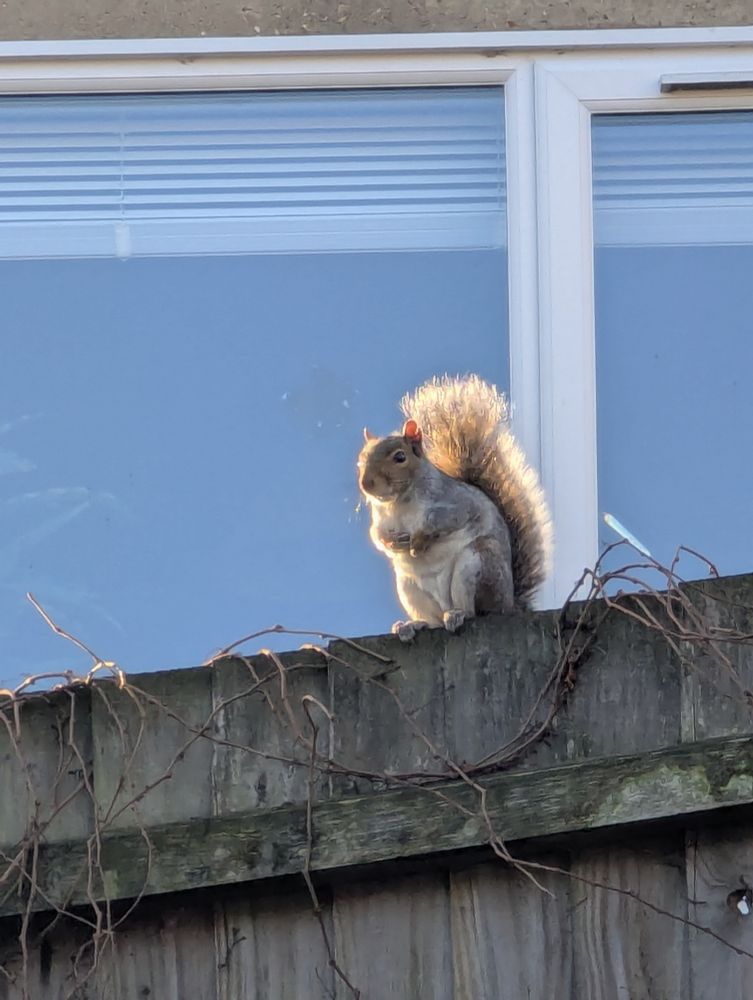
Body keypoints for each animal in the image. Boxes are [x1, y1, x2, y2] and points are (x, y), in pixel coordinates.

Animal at [357, 374, 553, 641]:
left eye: (400, 457)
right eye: (361, 460)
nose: (366, 483)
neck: (398, 502)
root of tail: (509, 605)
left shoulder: (458, 504)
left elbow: (444, 520)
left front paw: (418, 541)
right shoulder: (380, 520)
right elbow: (375, 535)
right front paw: (392, 543)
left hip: (475, 566)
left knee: (473, 611)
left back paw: (458, 614)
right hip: (410, 588)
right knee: (433, 621)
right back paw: (412, 625)